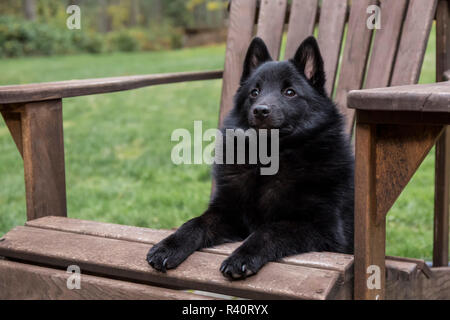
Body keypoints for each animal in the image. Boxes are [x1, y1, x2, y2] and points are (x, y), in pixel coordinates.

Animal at [146, 36, 354, 278]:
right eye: (255, 92)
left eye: (289, 92)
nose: (260, 110)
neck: (269, 159)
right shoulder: (227, 212)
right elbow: (194, 223)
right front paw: (168, 246)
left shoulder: (323, 229)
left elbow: (268, 230)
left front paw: (242, 256)